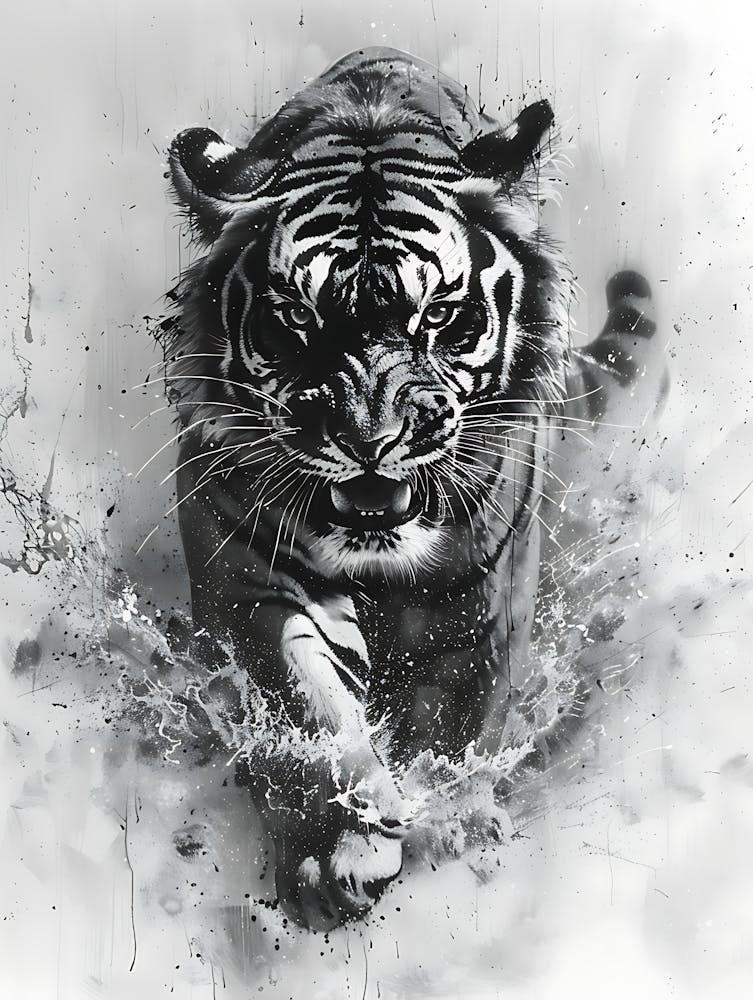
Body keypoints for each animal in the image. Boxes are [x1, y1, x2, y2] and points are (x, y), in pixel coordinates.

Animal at [162, 46, 662, 930]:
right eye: (297, 318)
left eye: (438, 318)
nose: (369, 442)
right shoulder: (245, 579)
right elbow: (306, 706)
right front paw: (338, 853)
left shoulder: (477, 606)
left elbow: (452, 730)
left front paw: (445, 829)